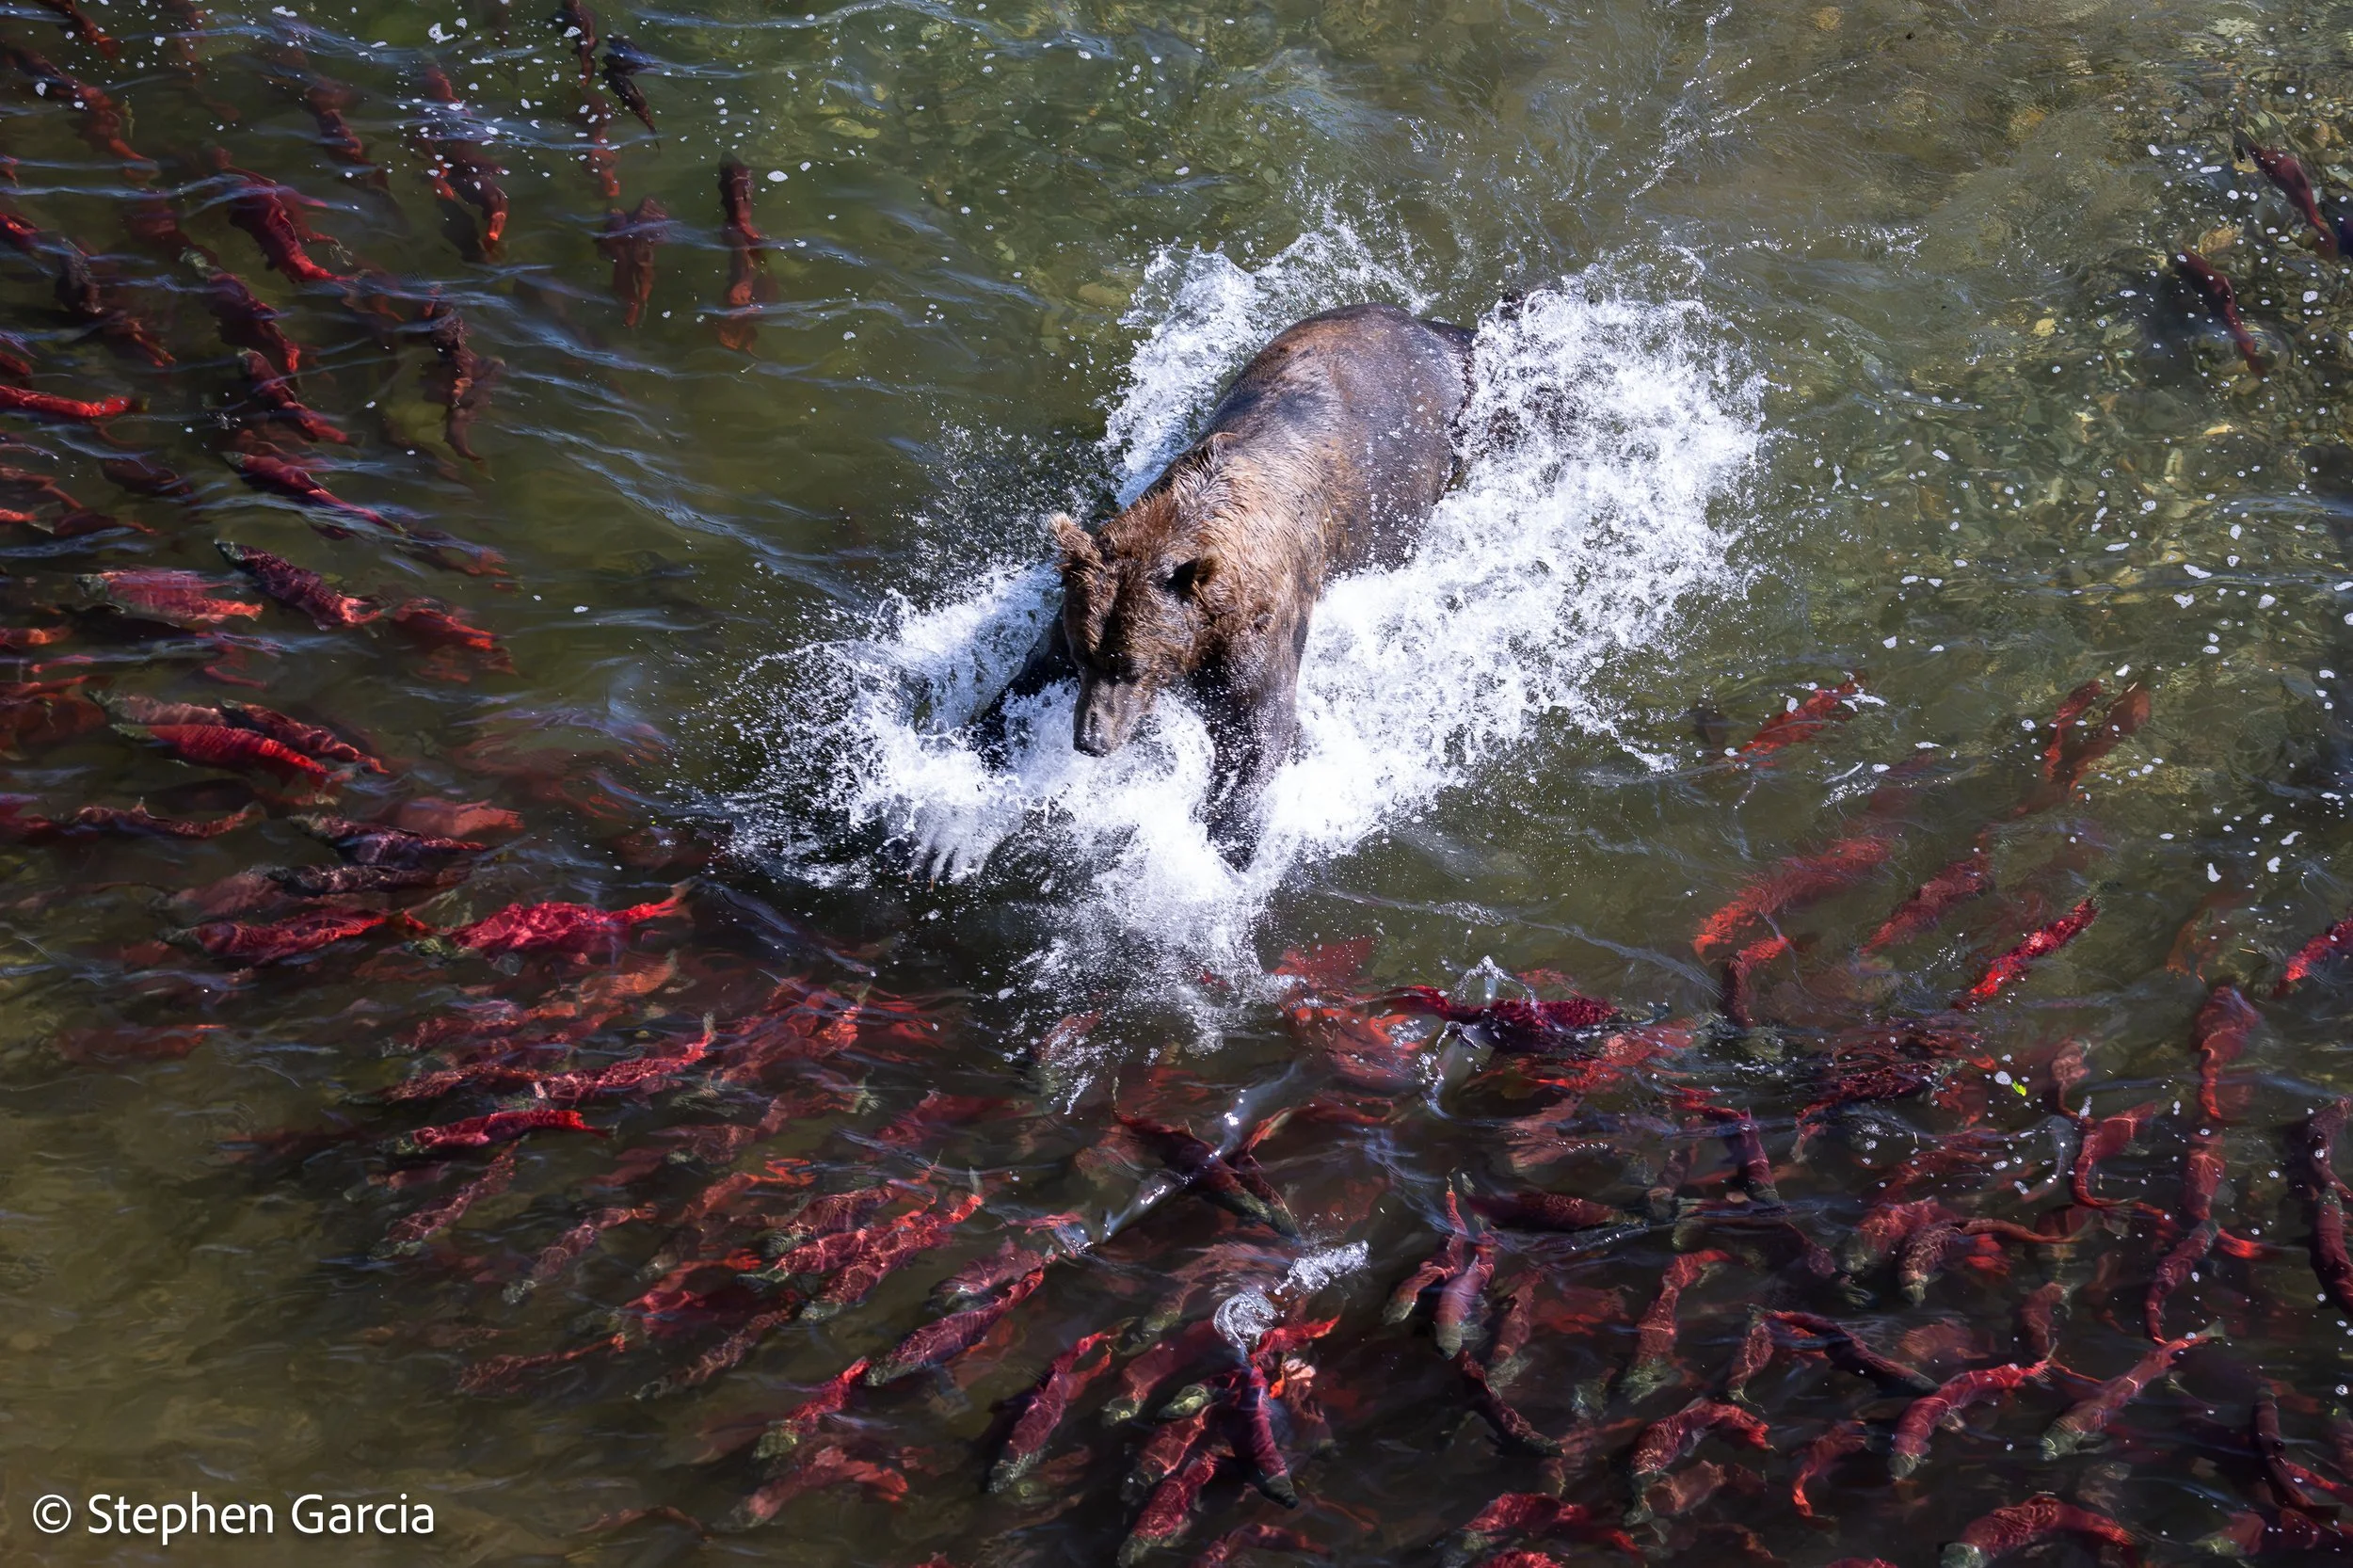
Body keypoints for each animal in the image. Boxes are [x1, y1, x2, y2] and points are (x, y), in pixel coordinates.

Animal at [972, 301, 1478, 856]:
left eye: (1133, 667)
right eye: (1087, 657)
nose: (1092, 740)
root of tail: (1430, 327)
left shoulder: (1255, 629)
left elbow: (1260, 732)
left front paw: (1226, 841)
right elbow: (1029, 673)